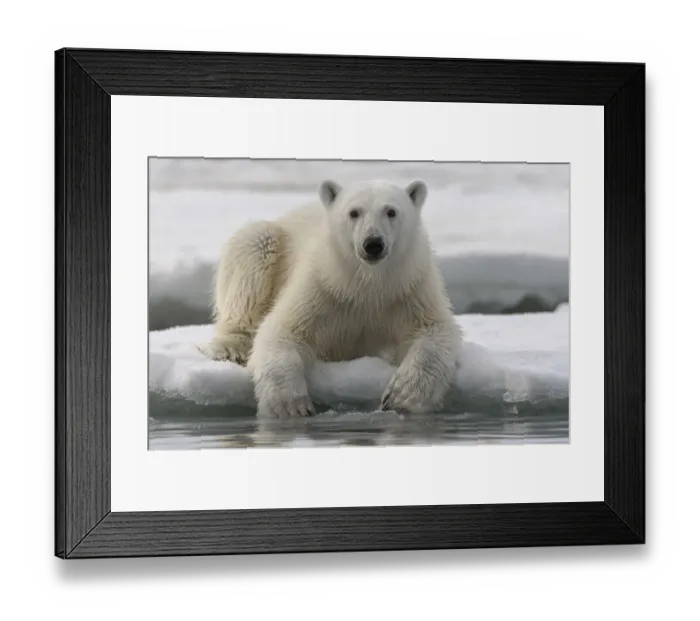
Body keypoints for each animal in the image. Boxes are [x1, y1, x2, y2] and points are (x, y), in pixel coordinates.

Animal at [203, 179, 463, 418]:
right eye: (354, 212)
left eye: (391, 211)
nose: (373, 243)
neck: (365, 285)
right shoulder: (322, 287)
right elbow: (282, 329)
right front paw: (290, 406)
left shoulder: (408, 289)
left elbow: (435, 330)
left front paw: (402, 397)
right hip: (268, 245)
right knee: (254, 247)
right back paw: (231, 348)